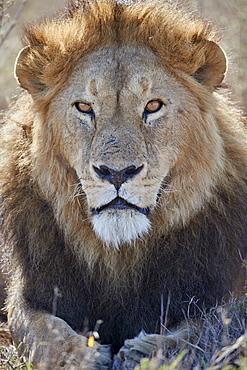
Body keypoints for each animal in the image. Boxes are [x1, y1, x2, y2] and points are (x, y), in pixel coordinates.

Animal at [0, 0, 247, 368]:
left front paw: (147, 352)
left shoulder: (223, 288)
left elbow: (209, 328)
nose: (117, 173)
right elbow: (43, 334)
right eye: (84, 107)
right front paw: (81, 356)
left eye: (153, 106)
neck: (120, 252)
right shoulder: (32, 291)